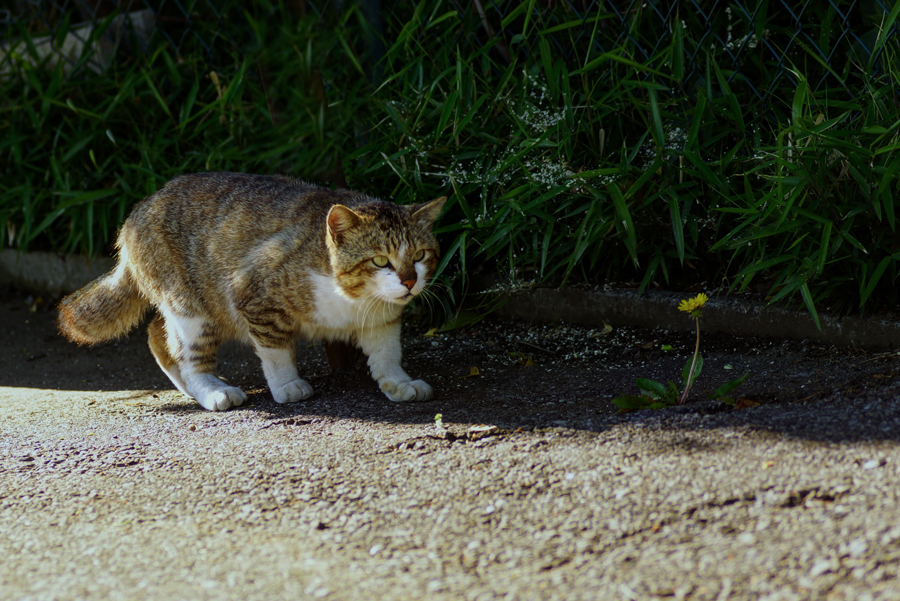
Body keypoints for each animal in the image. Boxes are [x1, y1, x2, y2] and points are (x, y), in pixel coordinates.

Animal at [59, 171, 446, 410]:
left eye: (420, 255)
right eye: (380, 260)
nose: (409, 281)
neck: (353, 299)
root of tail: (138, 211)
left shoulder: (383, 319)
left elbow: (387, 352)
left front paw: (398, 382)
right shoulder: (252, 292)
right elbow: (276, 351)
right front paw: (287, 385)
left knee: (157, 335)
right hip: (193, 307)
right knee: (184, 351)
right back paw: (212, 389)